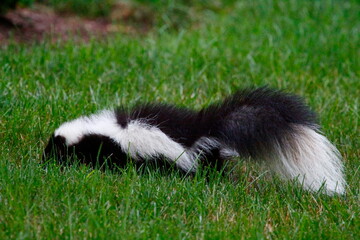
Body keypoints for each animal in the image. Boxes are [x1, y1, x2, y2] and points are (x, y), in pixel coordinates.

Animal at [43, 87, 348, 195]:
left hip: (184, 160)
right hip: (210, 155)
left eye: (52, 149)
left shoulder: (115, 148)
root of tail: (203, 130)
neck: (97, 131)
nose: (43, 160)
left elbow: (111, 161)